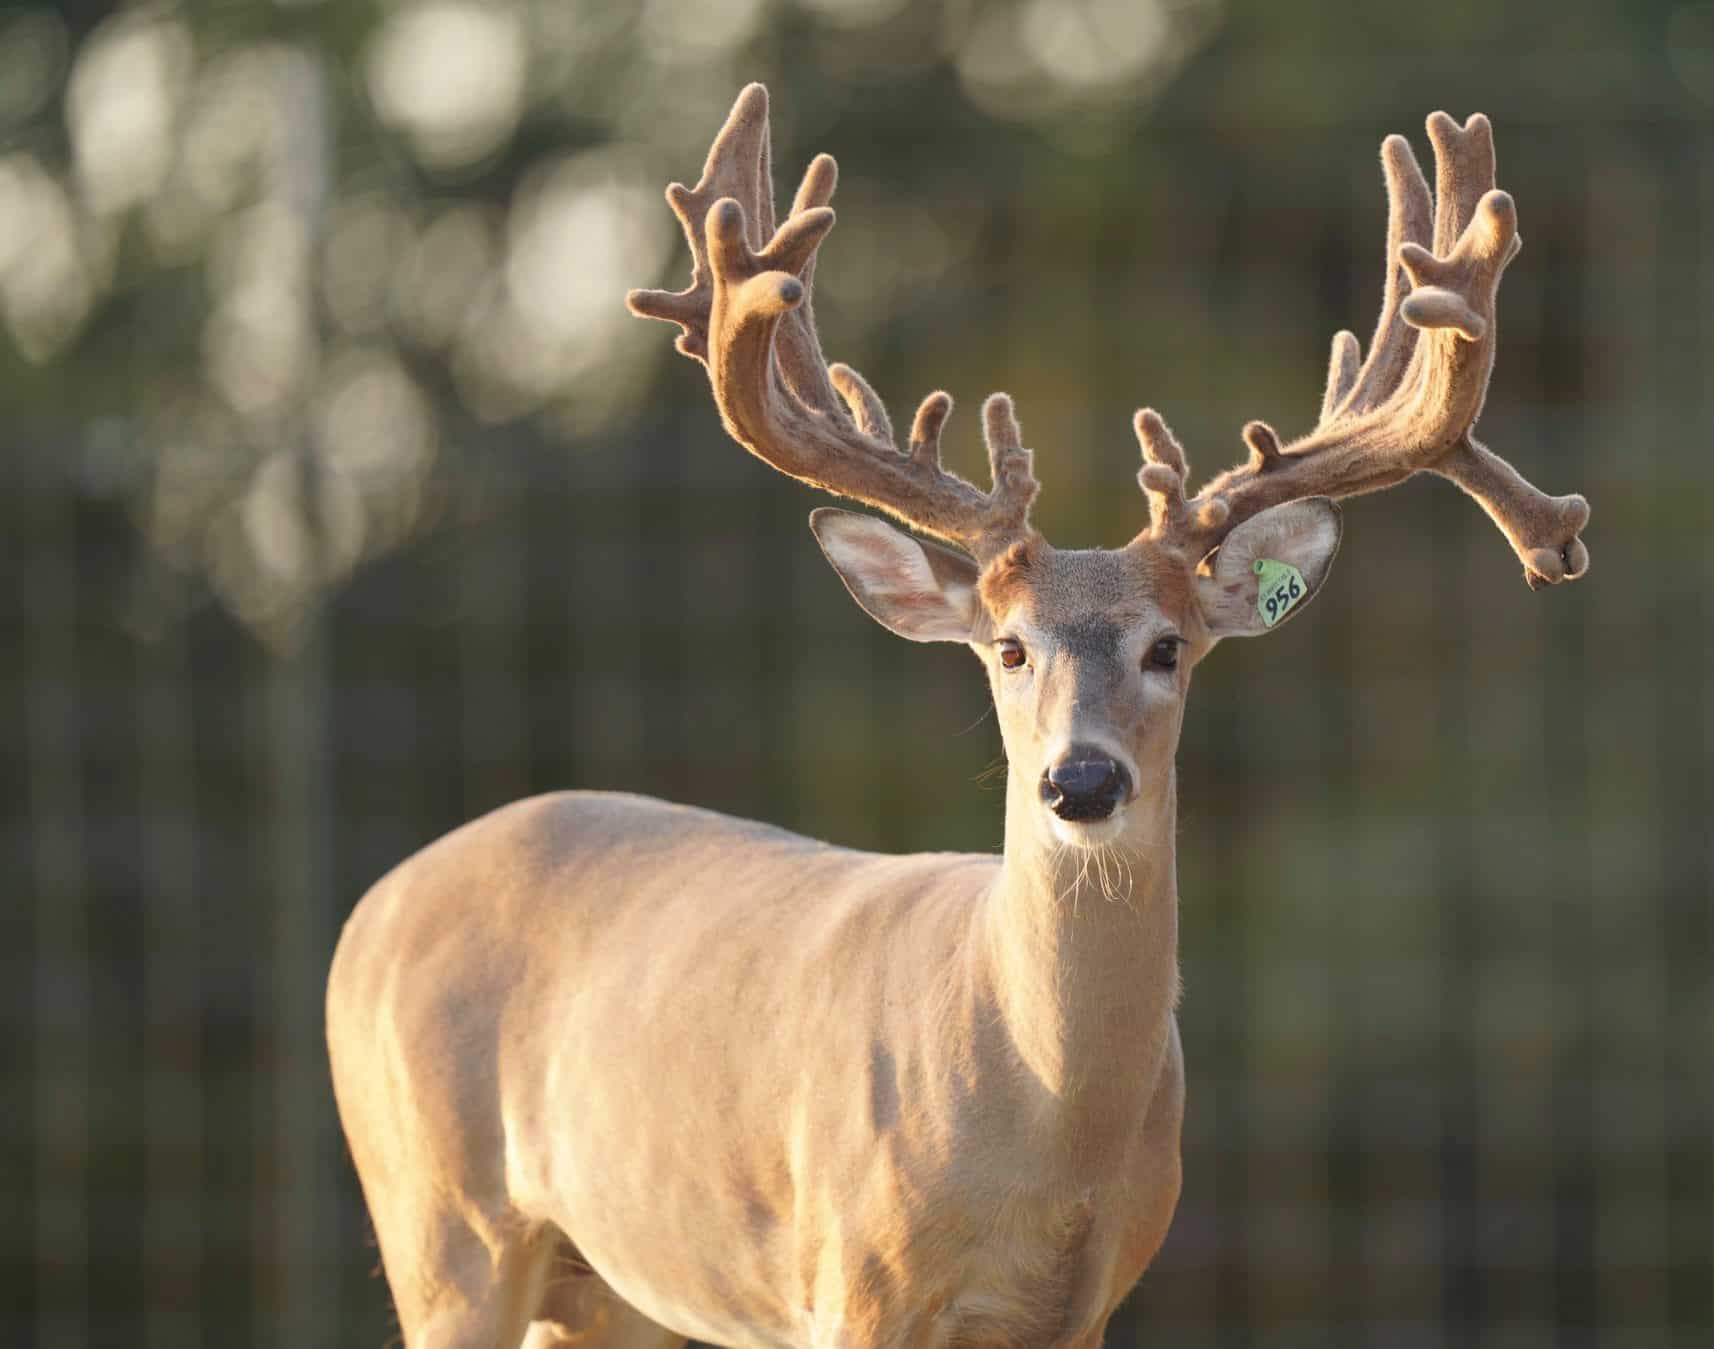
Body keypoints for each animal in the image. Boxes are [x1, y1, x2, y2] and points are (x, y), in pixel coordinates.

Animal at [326, 85, 1590, 1349]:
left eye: (1168, 647)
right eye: (1008, 646)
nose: (1080, 781)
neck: (1043, 1133)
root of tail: (368, 911)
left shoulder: (1088, 1302)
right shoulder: (851, 1276)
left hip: (606, 1284)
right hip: (439, 1220)